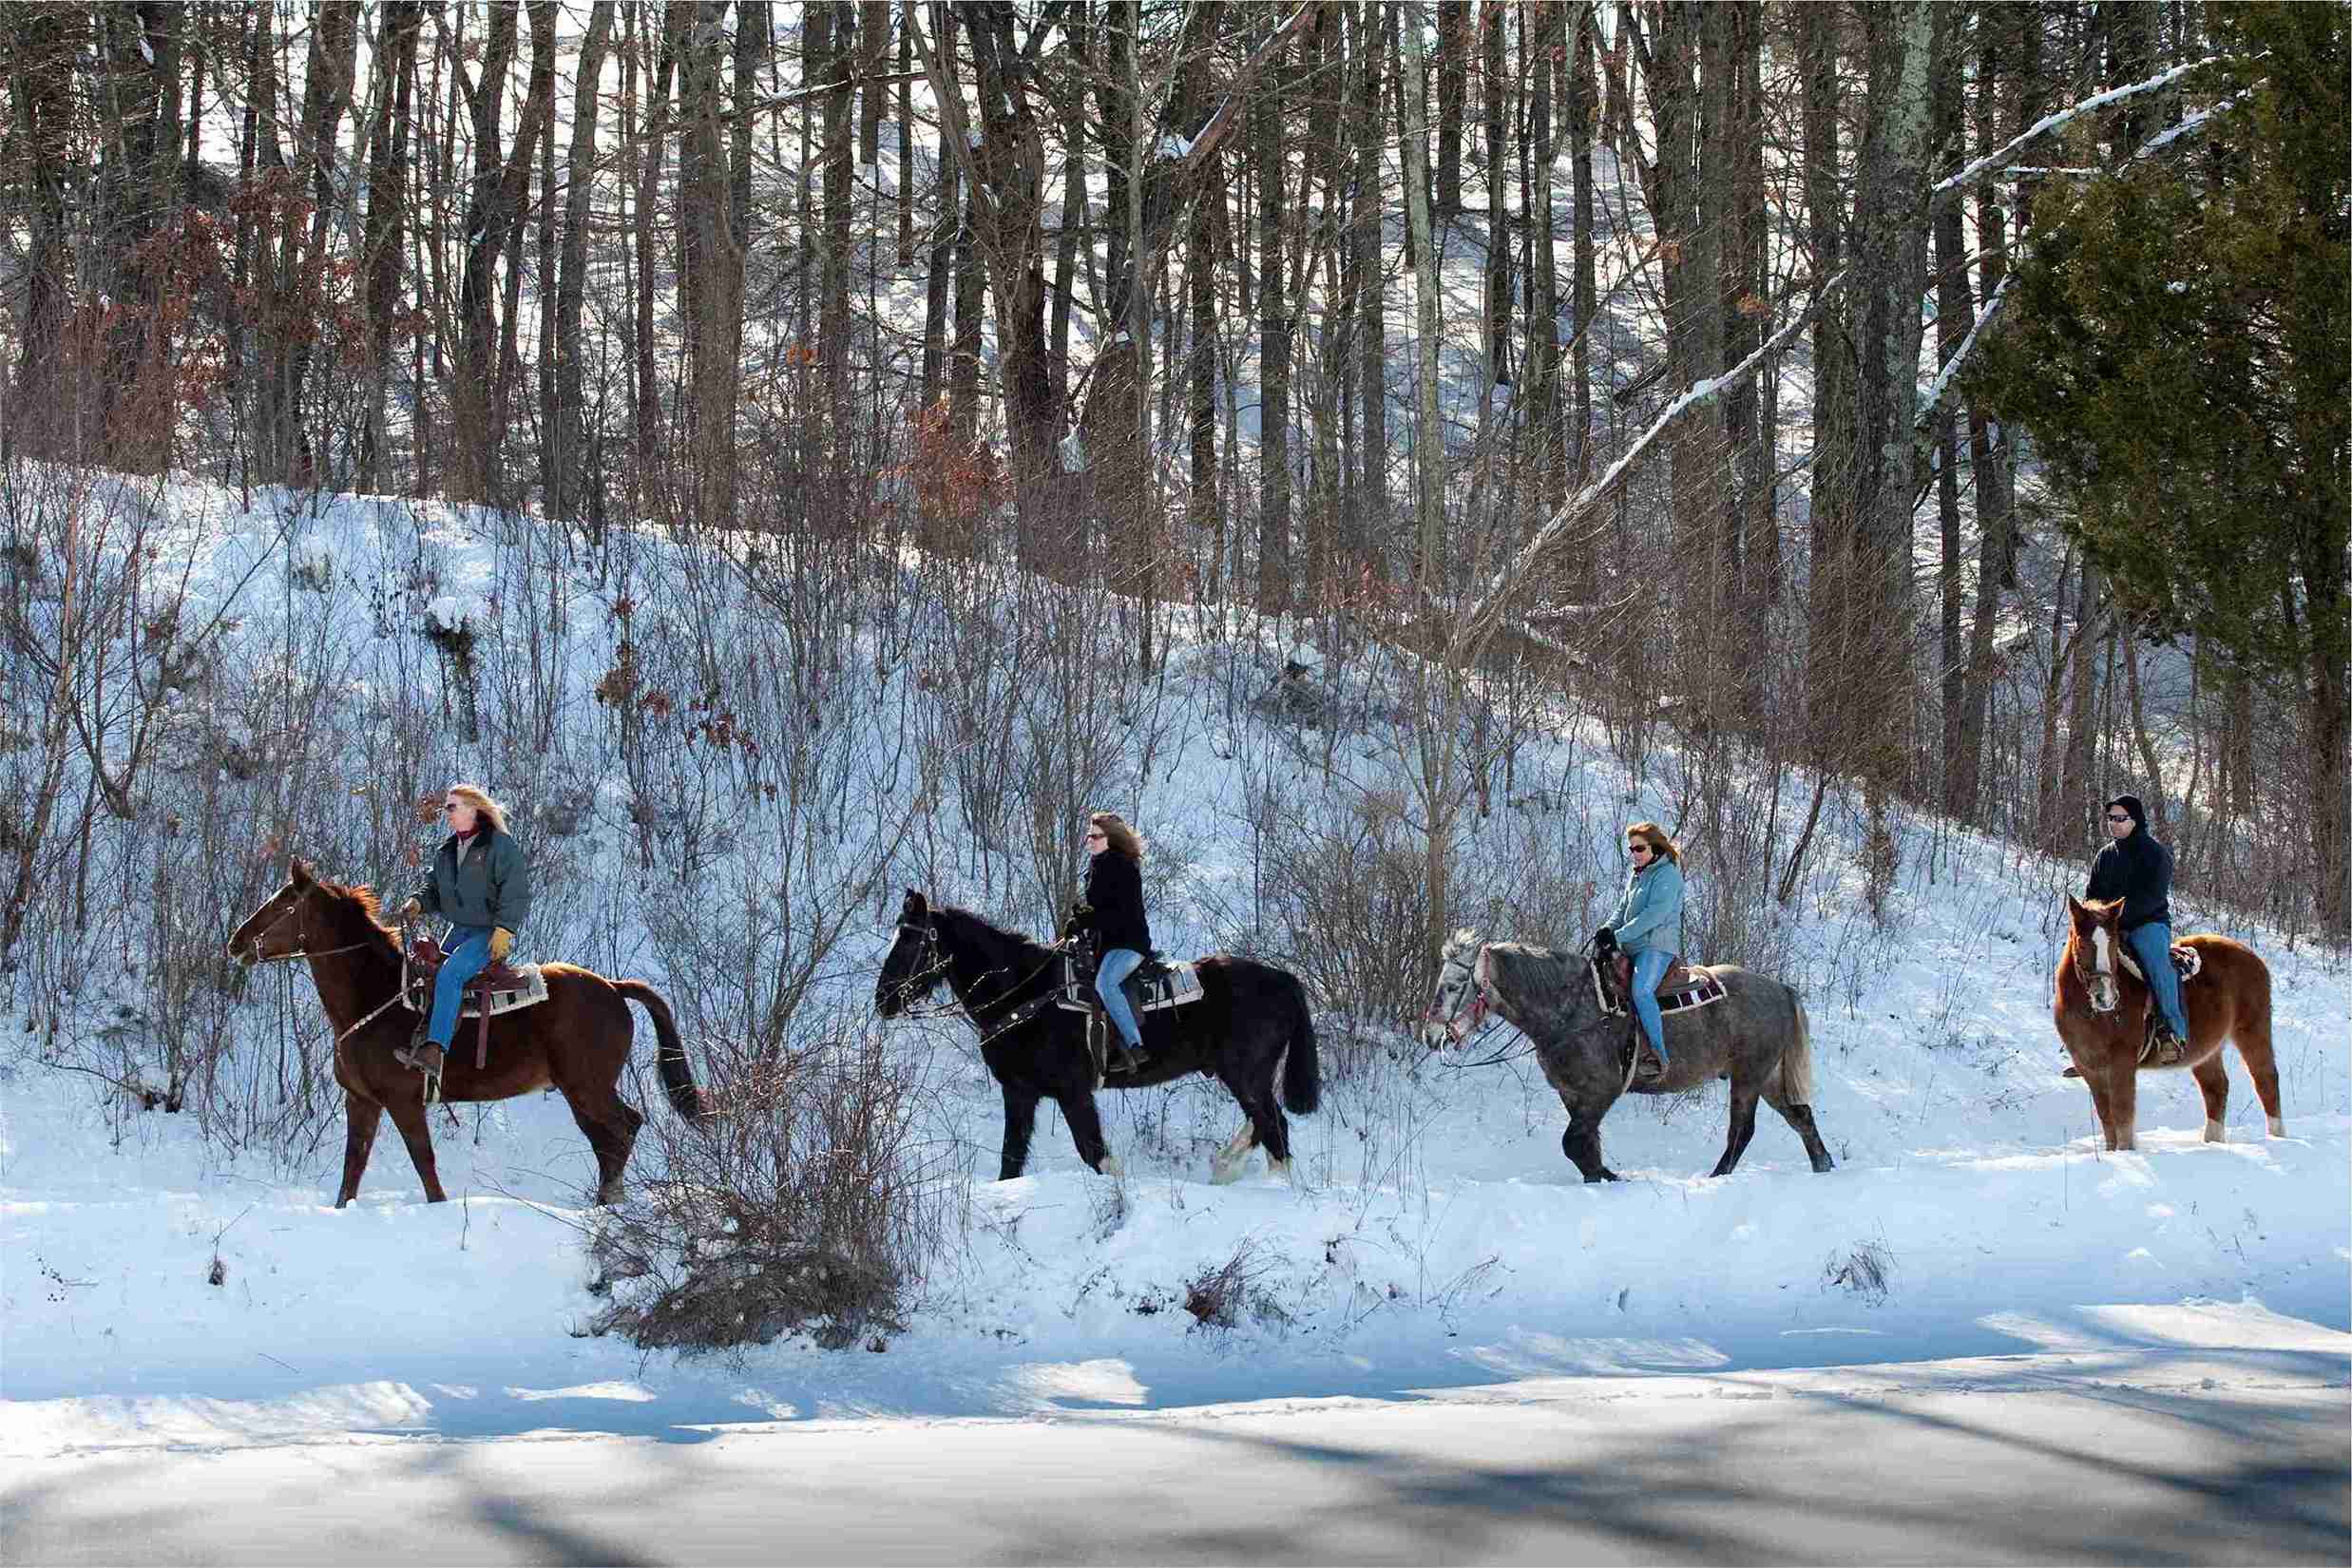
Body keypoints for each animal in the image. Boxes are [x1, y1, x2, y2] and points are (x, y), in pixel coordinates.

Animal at [228, 865, 705, 1213]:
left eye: (284, 903)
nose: (235, 941)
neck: (376, 995)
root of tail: (613, 987)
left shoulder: (403, 1101)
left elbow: (424, 1163)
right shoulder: (361, 1101)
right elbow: (353, 1168)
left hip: (586, 1087)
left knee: (620, 1131)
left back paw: (609, 1203)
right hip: (582, 1090)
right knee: (611, 1137)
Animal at [879, 889, 1326, 1184]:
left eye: (911, 942)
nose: (882, 999)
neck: (1028, 994)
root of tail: (1284, 980)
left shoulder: (1073, 1093)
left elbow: (1094, 1154)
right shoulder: (1020, 1093)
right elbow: (1011, 1162)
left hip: (1245, 1075)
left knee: (1274, 1128)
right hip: (1245, 1076)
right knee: (1264, 1126)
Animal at [1411, 930, 1834, 1175]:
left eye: (1452, 986)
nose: (1430, 1035)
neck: (1573, 1010)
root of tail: (1780, 989)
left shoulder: (1601, 1092)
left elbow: (1573, 1144)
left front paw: (1612, 1179)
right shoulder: (1573, 1094)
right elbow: (1586, 1148)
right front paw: (1602, 1178)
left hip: (1748, 1078)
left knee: (1742, 1131)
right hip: (1768, 1077)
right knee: (1801, 1118)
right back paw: (1823, 1166)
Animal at [2060, 893, 2276, 1152]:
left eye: (2112, 946)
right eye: (2082, 945)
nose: (2105, 997)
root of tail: (2252, 956)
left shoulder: (2122, 1065)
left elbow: (2122, 1118)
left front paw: (2125, 1152)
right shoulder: (2089, 1069)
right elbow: (2107, 1121)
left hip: (2253, 1032)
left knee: (2266, 1081)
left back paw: (2278, 1138)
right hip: (2206, 1052)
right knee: (2216, 1088)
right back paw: (2212, 1141)